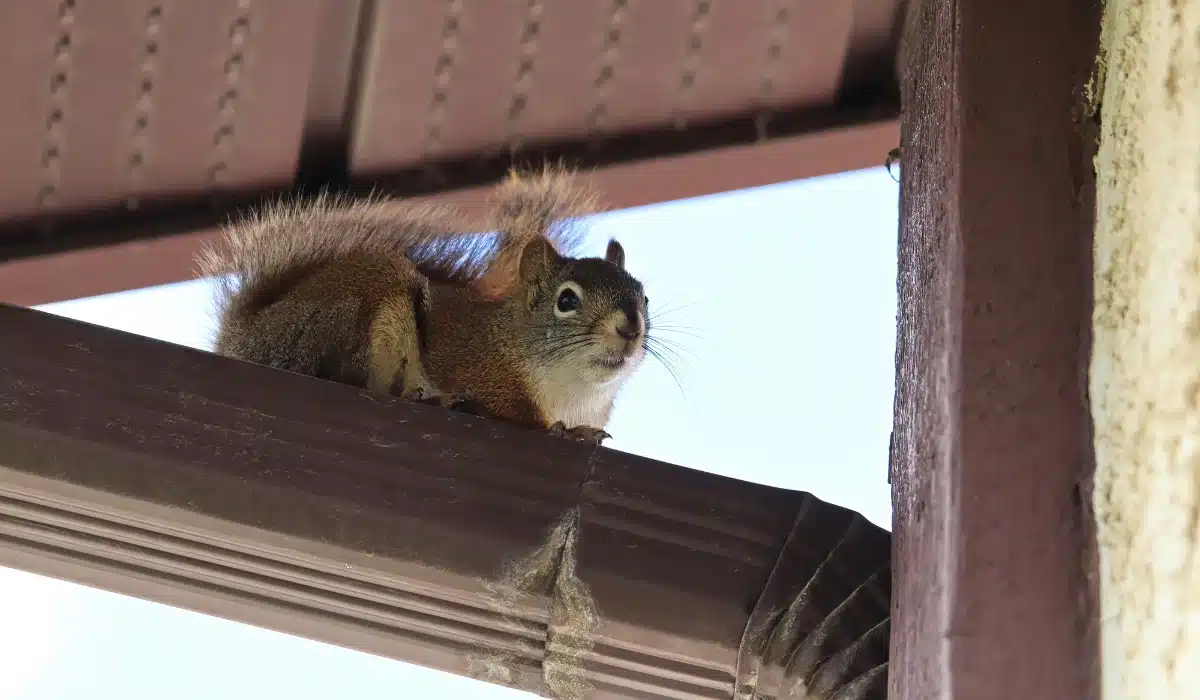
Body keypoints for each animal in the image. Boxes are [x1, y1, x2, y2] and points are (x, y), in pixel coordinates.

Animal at [197, 167, 649, 444]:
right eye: (567, 300)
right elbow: (512, 412)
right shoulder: (483, 371)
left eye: (643, 296)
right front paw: (561, 431)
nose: (630, 327)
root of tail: (247, 338)